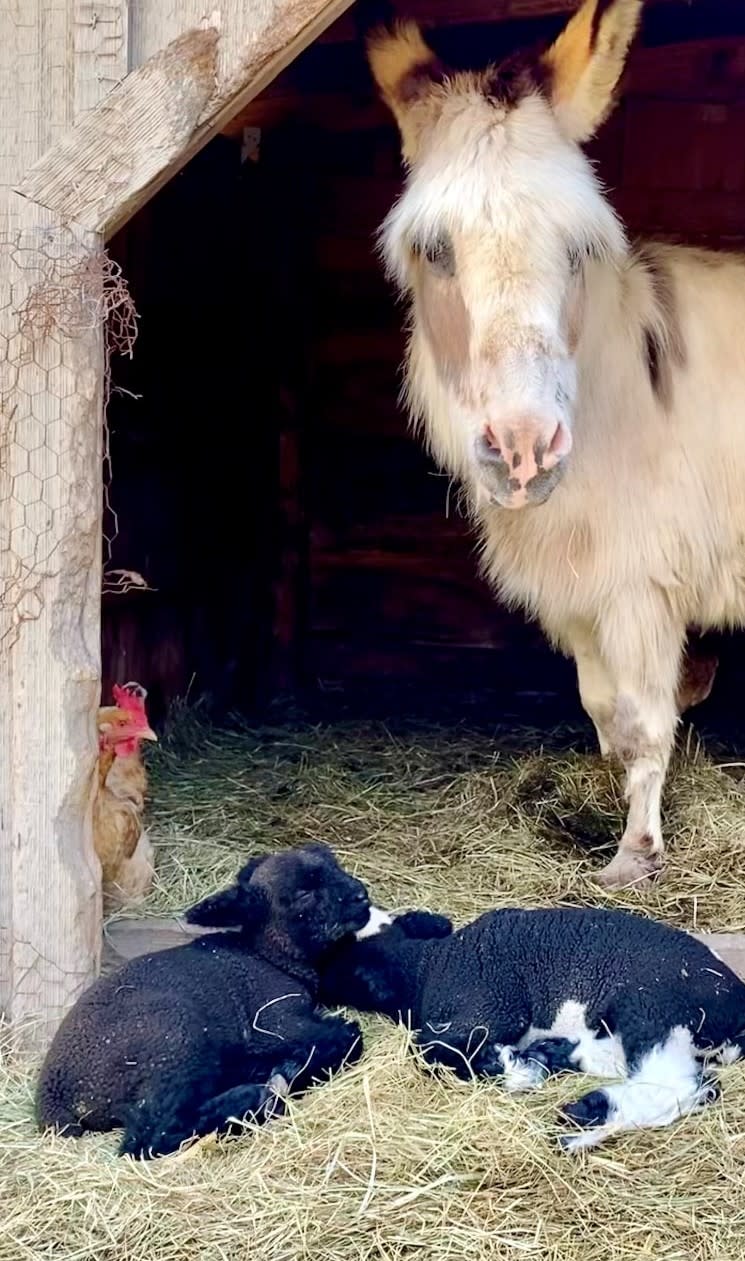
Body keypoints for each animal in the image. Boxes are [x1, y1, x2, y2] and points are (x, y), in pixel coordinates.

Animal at [37, 842, 370, 1155]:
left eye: (335, 865)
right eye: (303, 893)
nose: (362, 897)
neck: (268, 956)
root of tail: (53, 1096)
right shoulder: (275, 1023)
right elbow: (348, 1037)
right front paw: (292, 1069)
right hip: (174, 1042)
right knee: (148, 1138)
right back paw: (253, 1098)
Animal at [320, 907, 745, 1155]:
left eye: (337, 958)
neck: (426, 967)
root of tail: (735, 1008)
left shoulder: (488, 1008)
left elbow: (432, 1051)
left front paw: (517, 1071)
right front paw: (528, 1063)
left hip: (653, 1006)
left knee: (680, 1084)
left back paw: (585, 1118)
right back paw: (558, 1058)